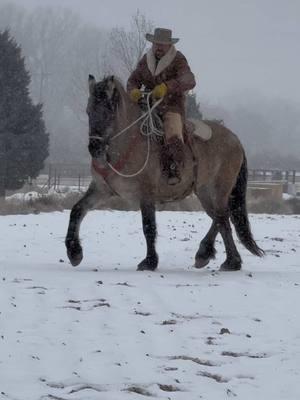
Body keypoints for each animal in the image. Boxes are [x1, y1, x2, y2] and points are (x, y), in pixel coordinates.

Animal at [65, 75, 262, 272]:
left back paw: (222, 258)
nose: (95, 148)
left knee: (222, 216)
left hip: (220, 188)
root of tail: (235, 140)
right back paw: (217, 257)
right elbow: (77, 210)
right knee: (221, 219)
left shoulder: (146, 193)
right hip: (204, 191)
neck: (127, 145)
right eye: (89, 111)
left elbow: (148, 226)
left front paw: (149, 261)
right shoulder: (101, 189)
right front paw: (74, 253)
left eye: (109, 111)